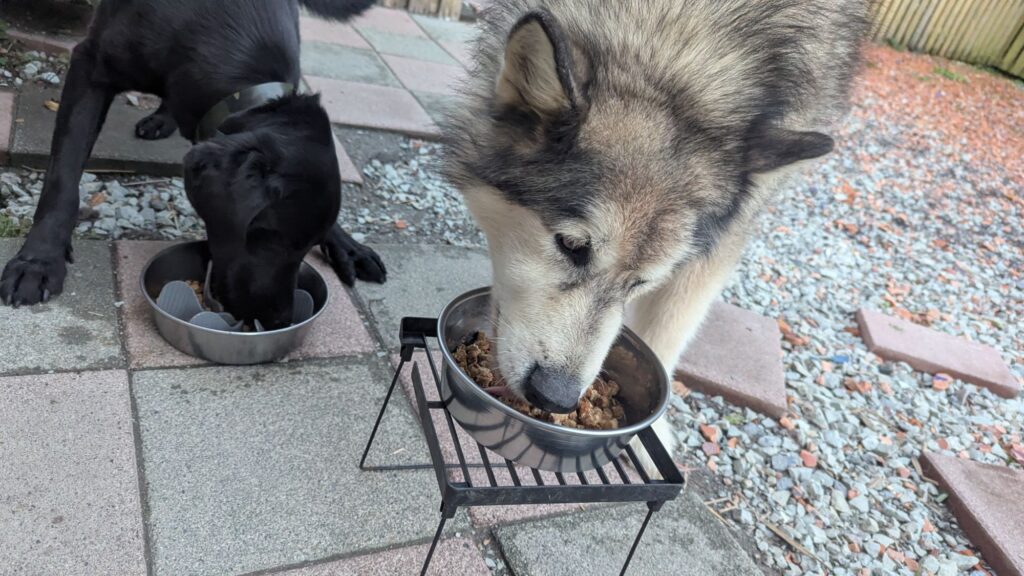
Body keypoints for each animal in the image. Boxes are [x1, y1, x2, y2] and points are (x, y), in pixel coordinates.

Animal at [0, 0, 386, 328]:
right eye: (270, 238)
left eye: (307, 245)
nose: (281, 319)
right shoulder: (90, 65)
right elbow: (63, 175)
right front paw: (39, 258)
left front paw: (348, 244)